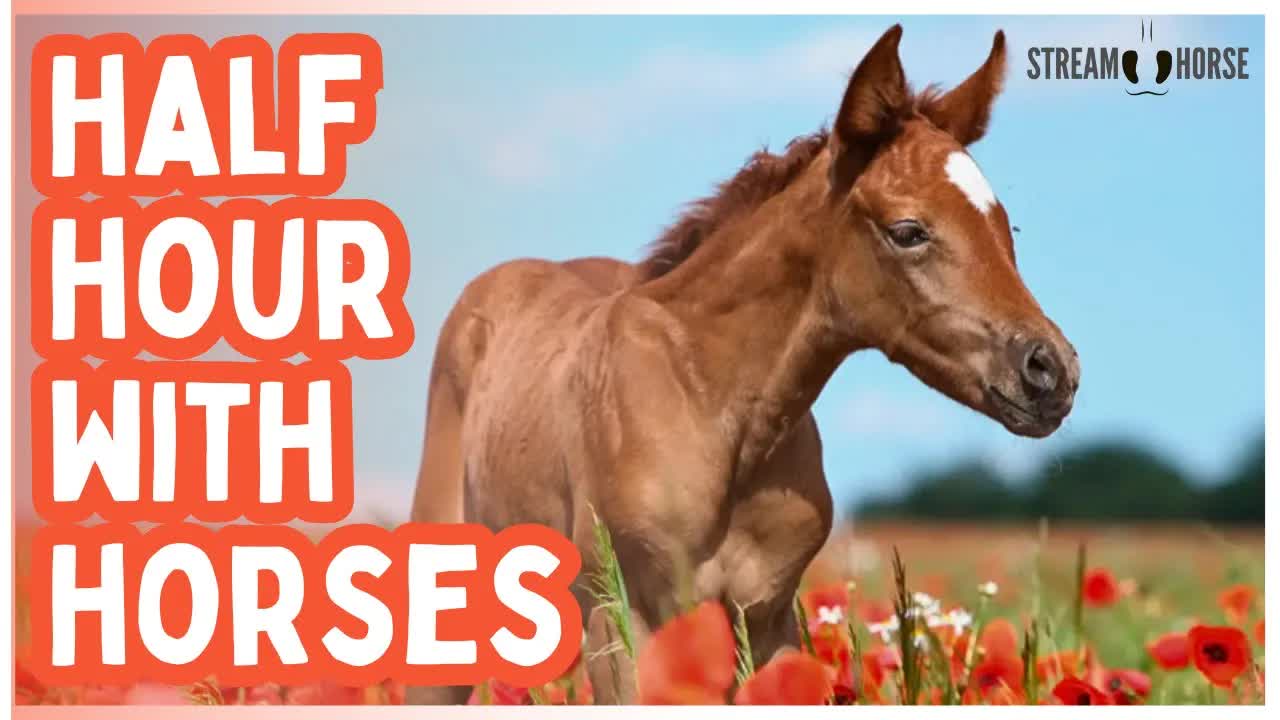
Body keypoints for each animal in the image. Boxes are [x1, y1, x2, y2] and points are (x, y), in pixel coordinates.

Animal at [406, 24, 1079, 704]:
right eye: (908, 230)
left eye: (1006, 225)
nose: (1052, 371)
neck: (714, 408)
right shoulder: (620, 620)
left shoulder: (767, 619)